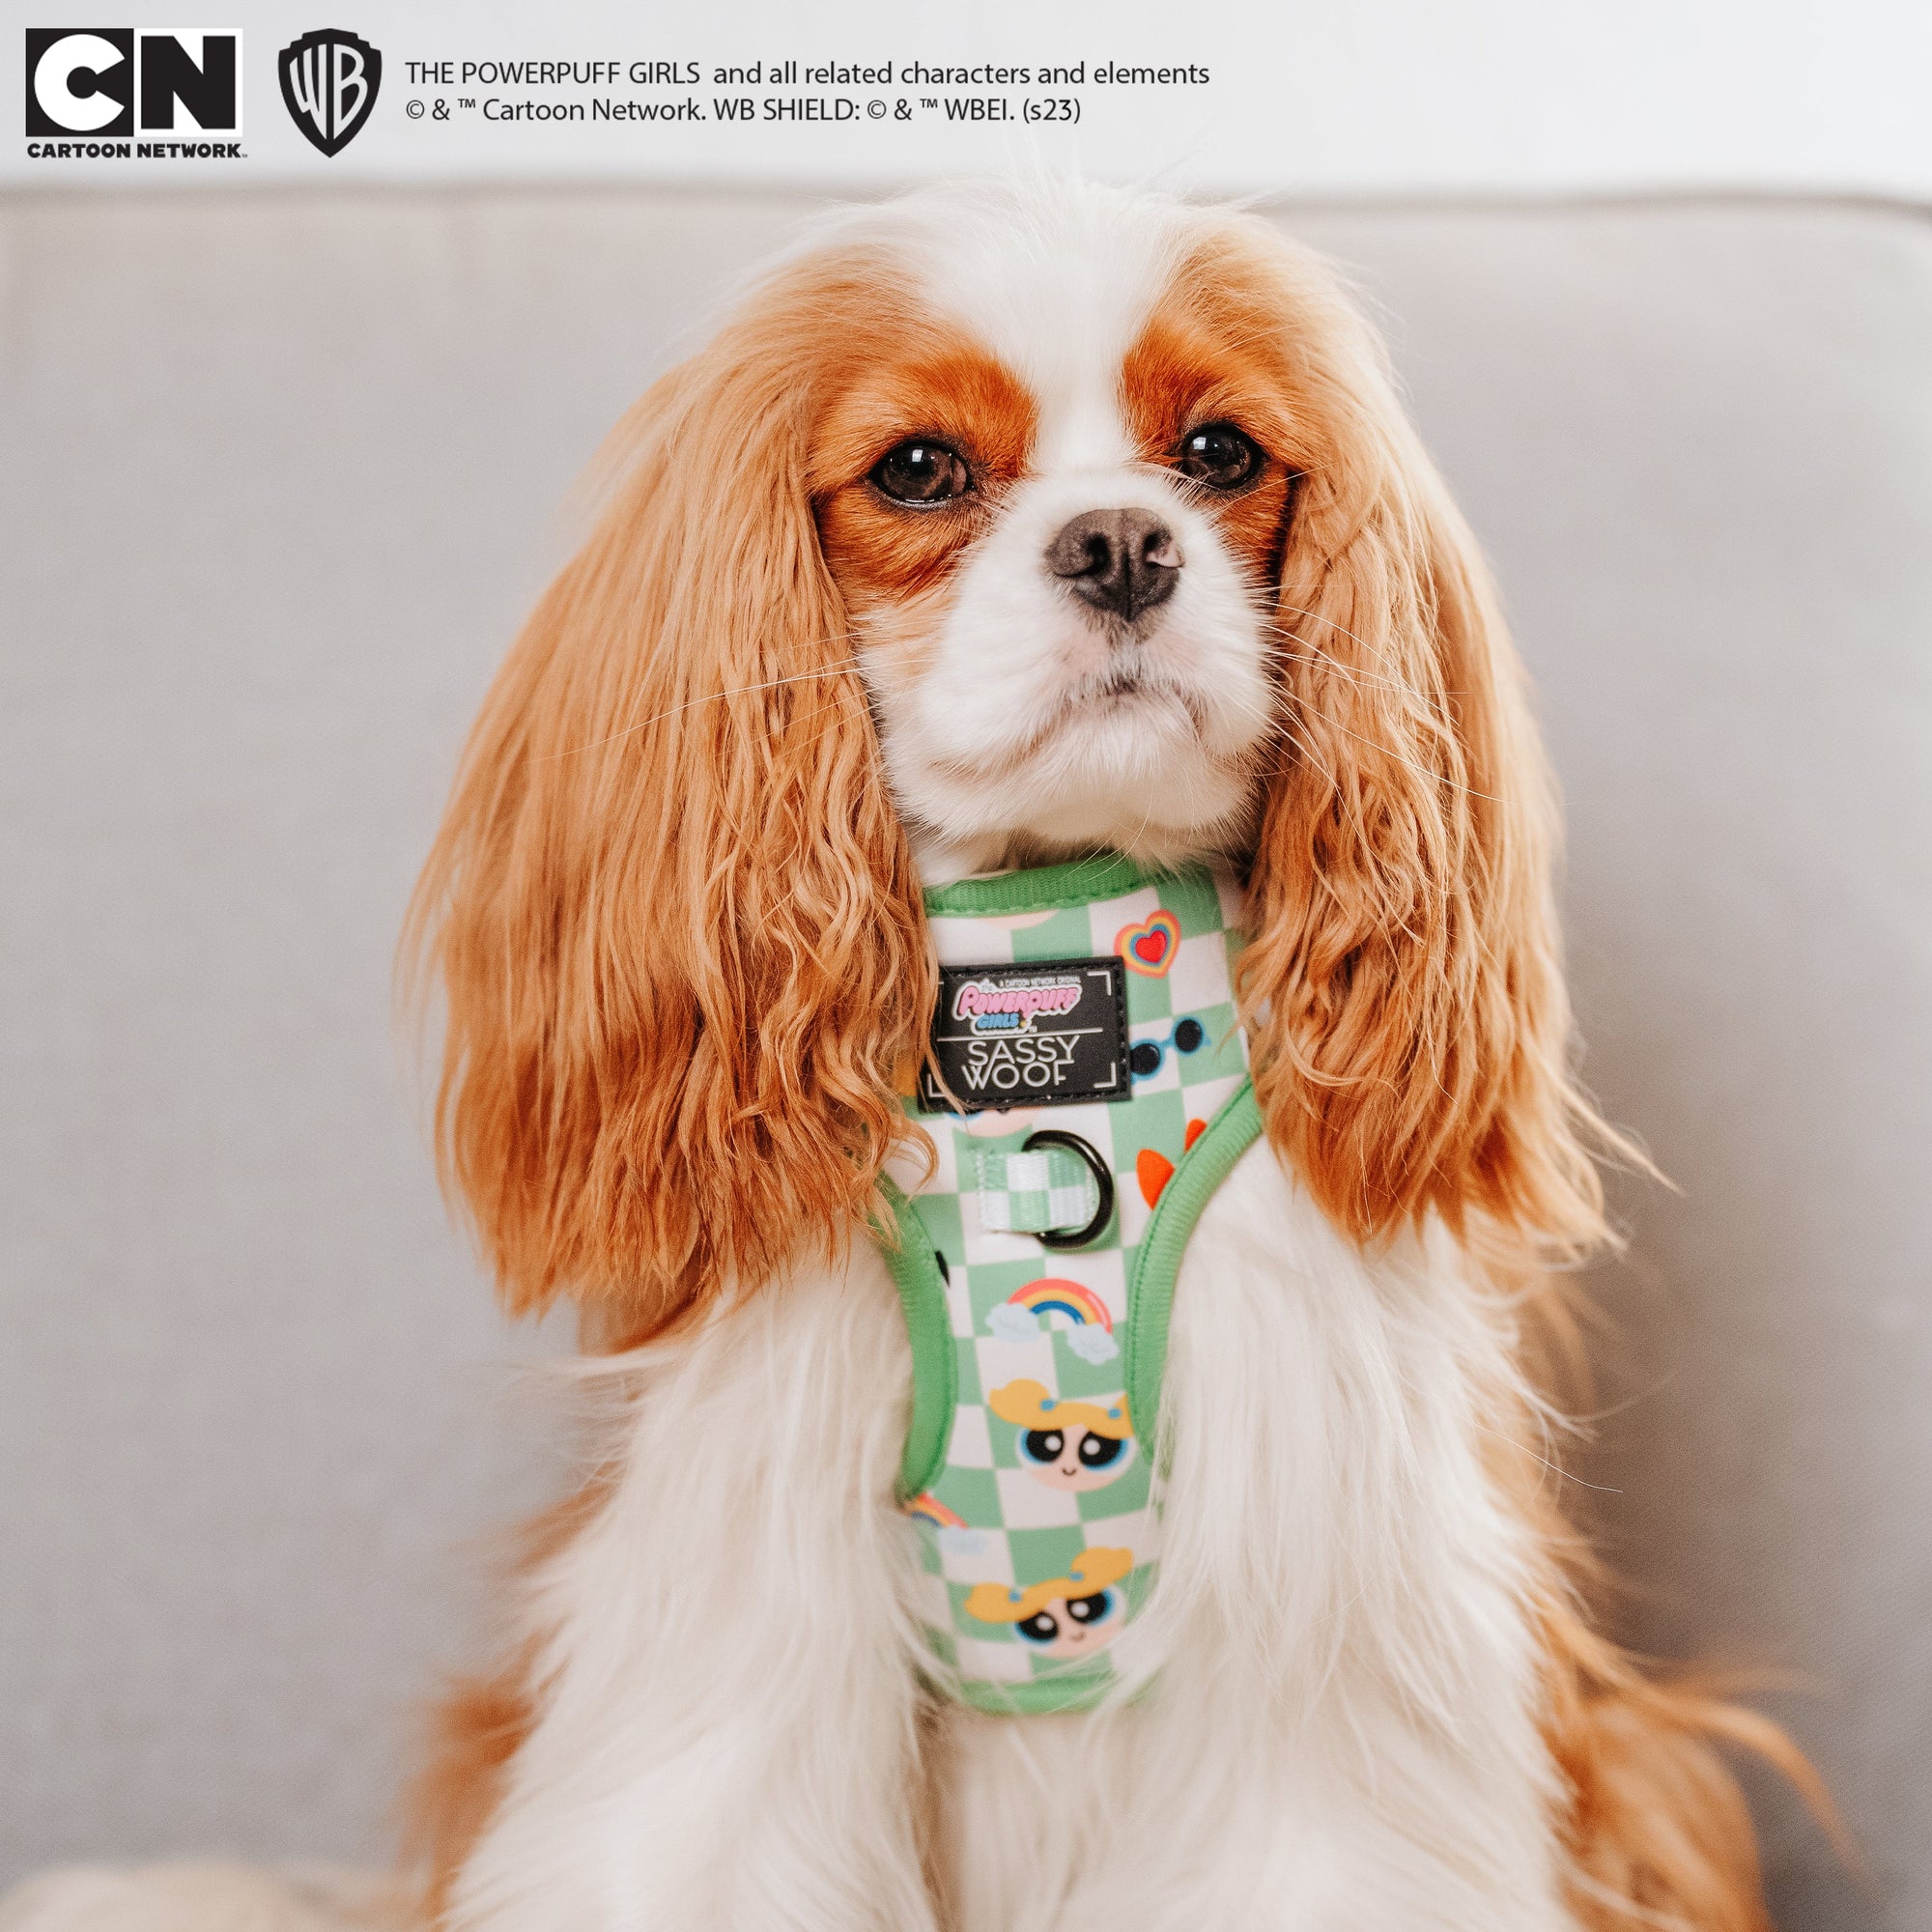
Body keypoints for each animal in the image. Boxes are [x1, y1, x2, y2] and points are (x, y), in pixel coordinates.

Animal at [4, 178, 1815, 1932]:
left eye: (1220, 455)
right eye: (922, 469)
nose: (1120, 542)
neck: (1051, 994)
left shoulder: (1321, 1610)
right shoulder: (748, 1596)